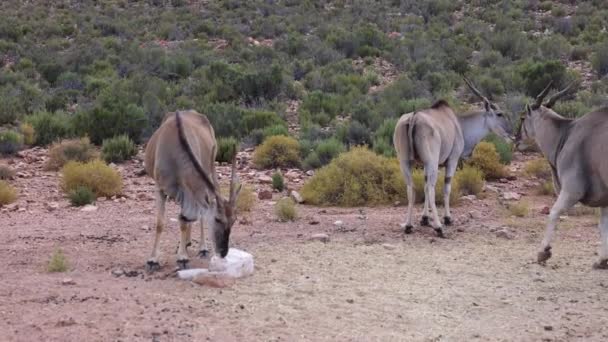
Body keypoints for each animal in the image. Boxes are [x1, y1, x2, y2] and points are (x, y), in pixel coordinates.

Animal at [144, 111, 241, 272]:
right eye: (217, 219)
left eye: (234, 220)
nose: (223, 252)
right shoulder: (160, 189)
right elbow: (160, 223)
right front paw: (153, 260)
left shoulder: (187, 189)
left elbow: (184, 220)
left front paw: (182, 257)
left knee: (196, 215)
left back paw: (201, 247)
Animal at [394, 77, 512, 238]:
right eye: (499, 114)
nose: (511, 133)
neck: (459, 124)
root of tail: (413, 118)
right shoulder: (452, 160)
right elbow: (446, 188)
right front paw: (447, 218)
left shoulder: (425, 165)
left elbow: (423, 186)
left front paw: (424, 219)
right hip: (431, 162)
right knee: (430, 188)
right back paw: (438, 227)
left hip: (405, 162)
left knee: (411, 188)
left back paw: (408, 226)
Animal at [516, 83, 608, 270]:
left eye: (522, 118)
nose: (515, 139)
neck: (566, 133)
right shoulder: (604, 199)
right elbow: (603, 226)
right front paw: (602, 260)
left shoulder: (572, 191)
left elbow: (553, 213)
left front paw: (543, 252)